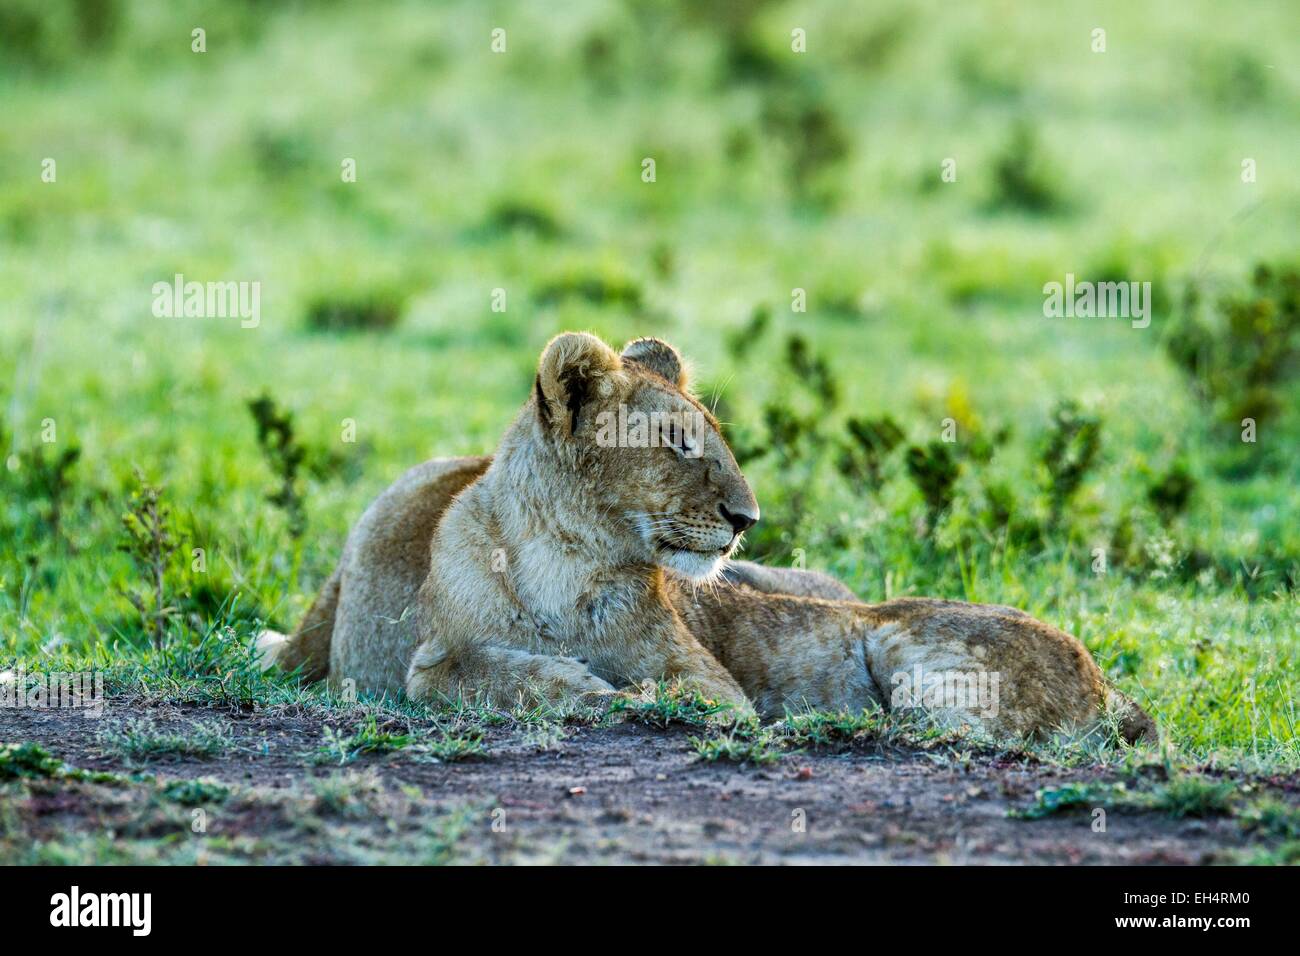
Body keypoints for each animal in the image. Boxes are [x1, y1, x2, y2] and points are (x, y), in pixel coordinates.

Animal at [262, 332, 1156, 744]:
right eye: (678, 442)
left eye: (715, 438)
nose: (747, 519)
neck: (568, 559)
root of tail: (1109, 681)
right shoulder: (436, 657)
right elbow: (480, 674)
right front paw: (581, 686)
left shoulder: (710, 680)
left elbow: (682, 696)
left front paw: (618, 695)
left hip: (905, 651)